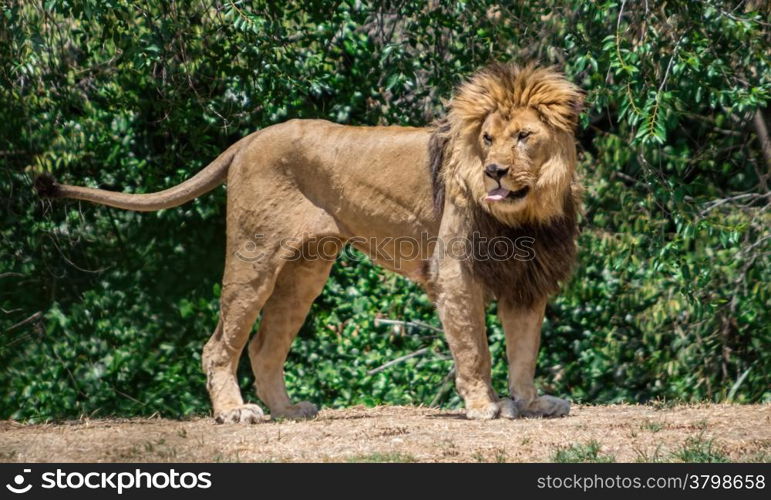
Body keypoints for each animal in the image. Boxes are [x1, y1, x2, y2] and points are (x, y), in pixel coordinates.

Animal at [33, 61, 584, 422]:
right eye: (487, 139)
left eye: (524, 136)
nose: (494, 171)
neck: (525, 214)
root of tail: (250, 138)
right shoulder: (455, 274)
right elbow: (475, 350)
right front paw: (485, 406)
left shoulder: (528, 280)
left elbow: (525, 350)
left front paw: (533, 402)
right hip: (253, 258)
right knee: (219, 345)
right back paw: (236, 412)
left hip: (305, 272)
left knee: (264, 347)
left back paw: (287, 409)